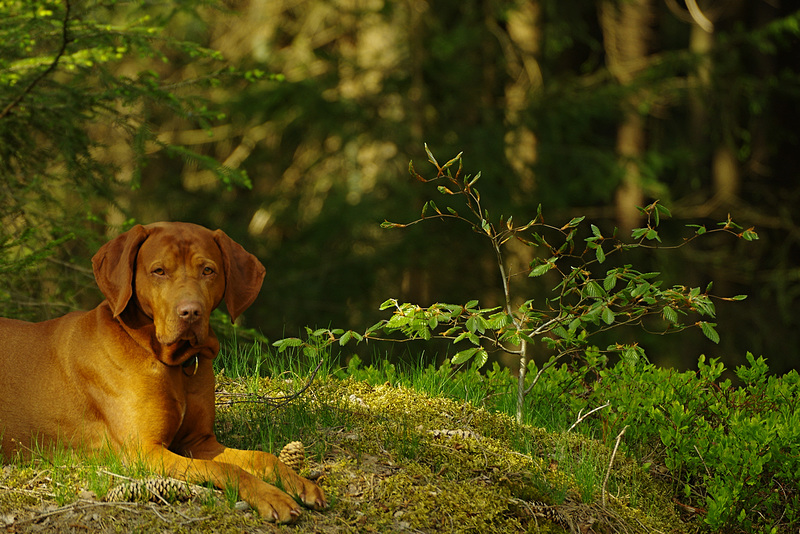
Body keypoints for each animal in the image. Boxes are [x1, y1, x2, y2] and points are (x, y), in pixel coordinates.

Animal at [0, 221, 328, 524]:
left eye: (208, 270)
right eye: (158, 271)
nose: (190, 312)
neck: (171, 363)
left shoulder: (200, 442)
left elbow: (262, 456)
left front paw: (298, 482)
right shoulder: (145, 451)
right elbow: (225, 468)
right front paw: (271, 496)